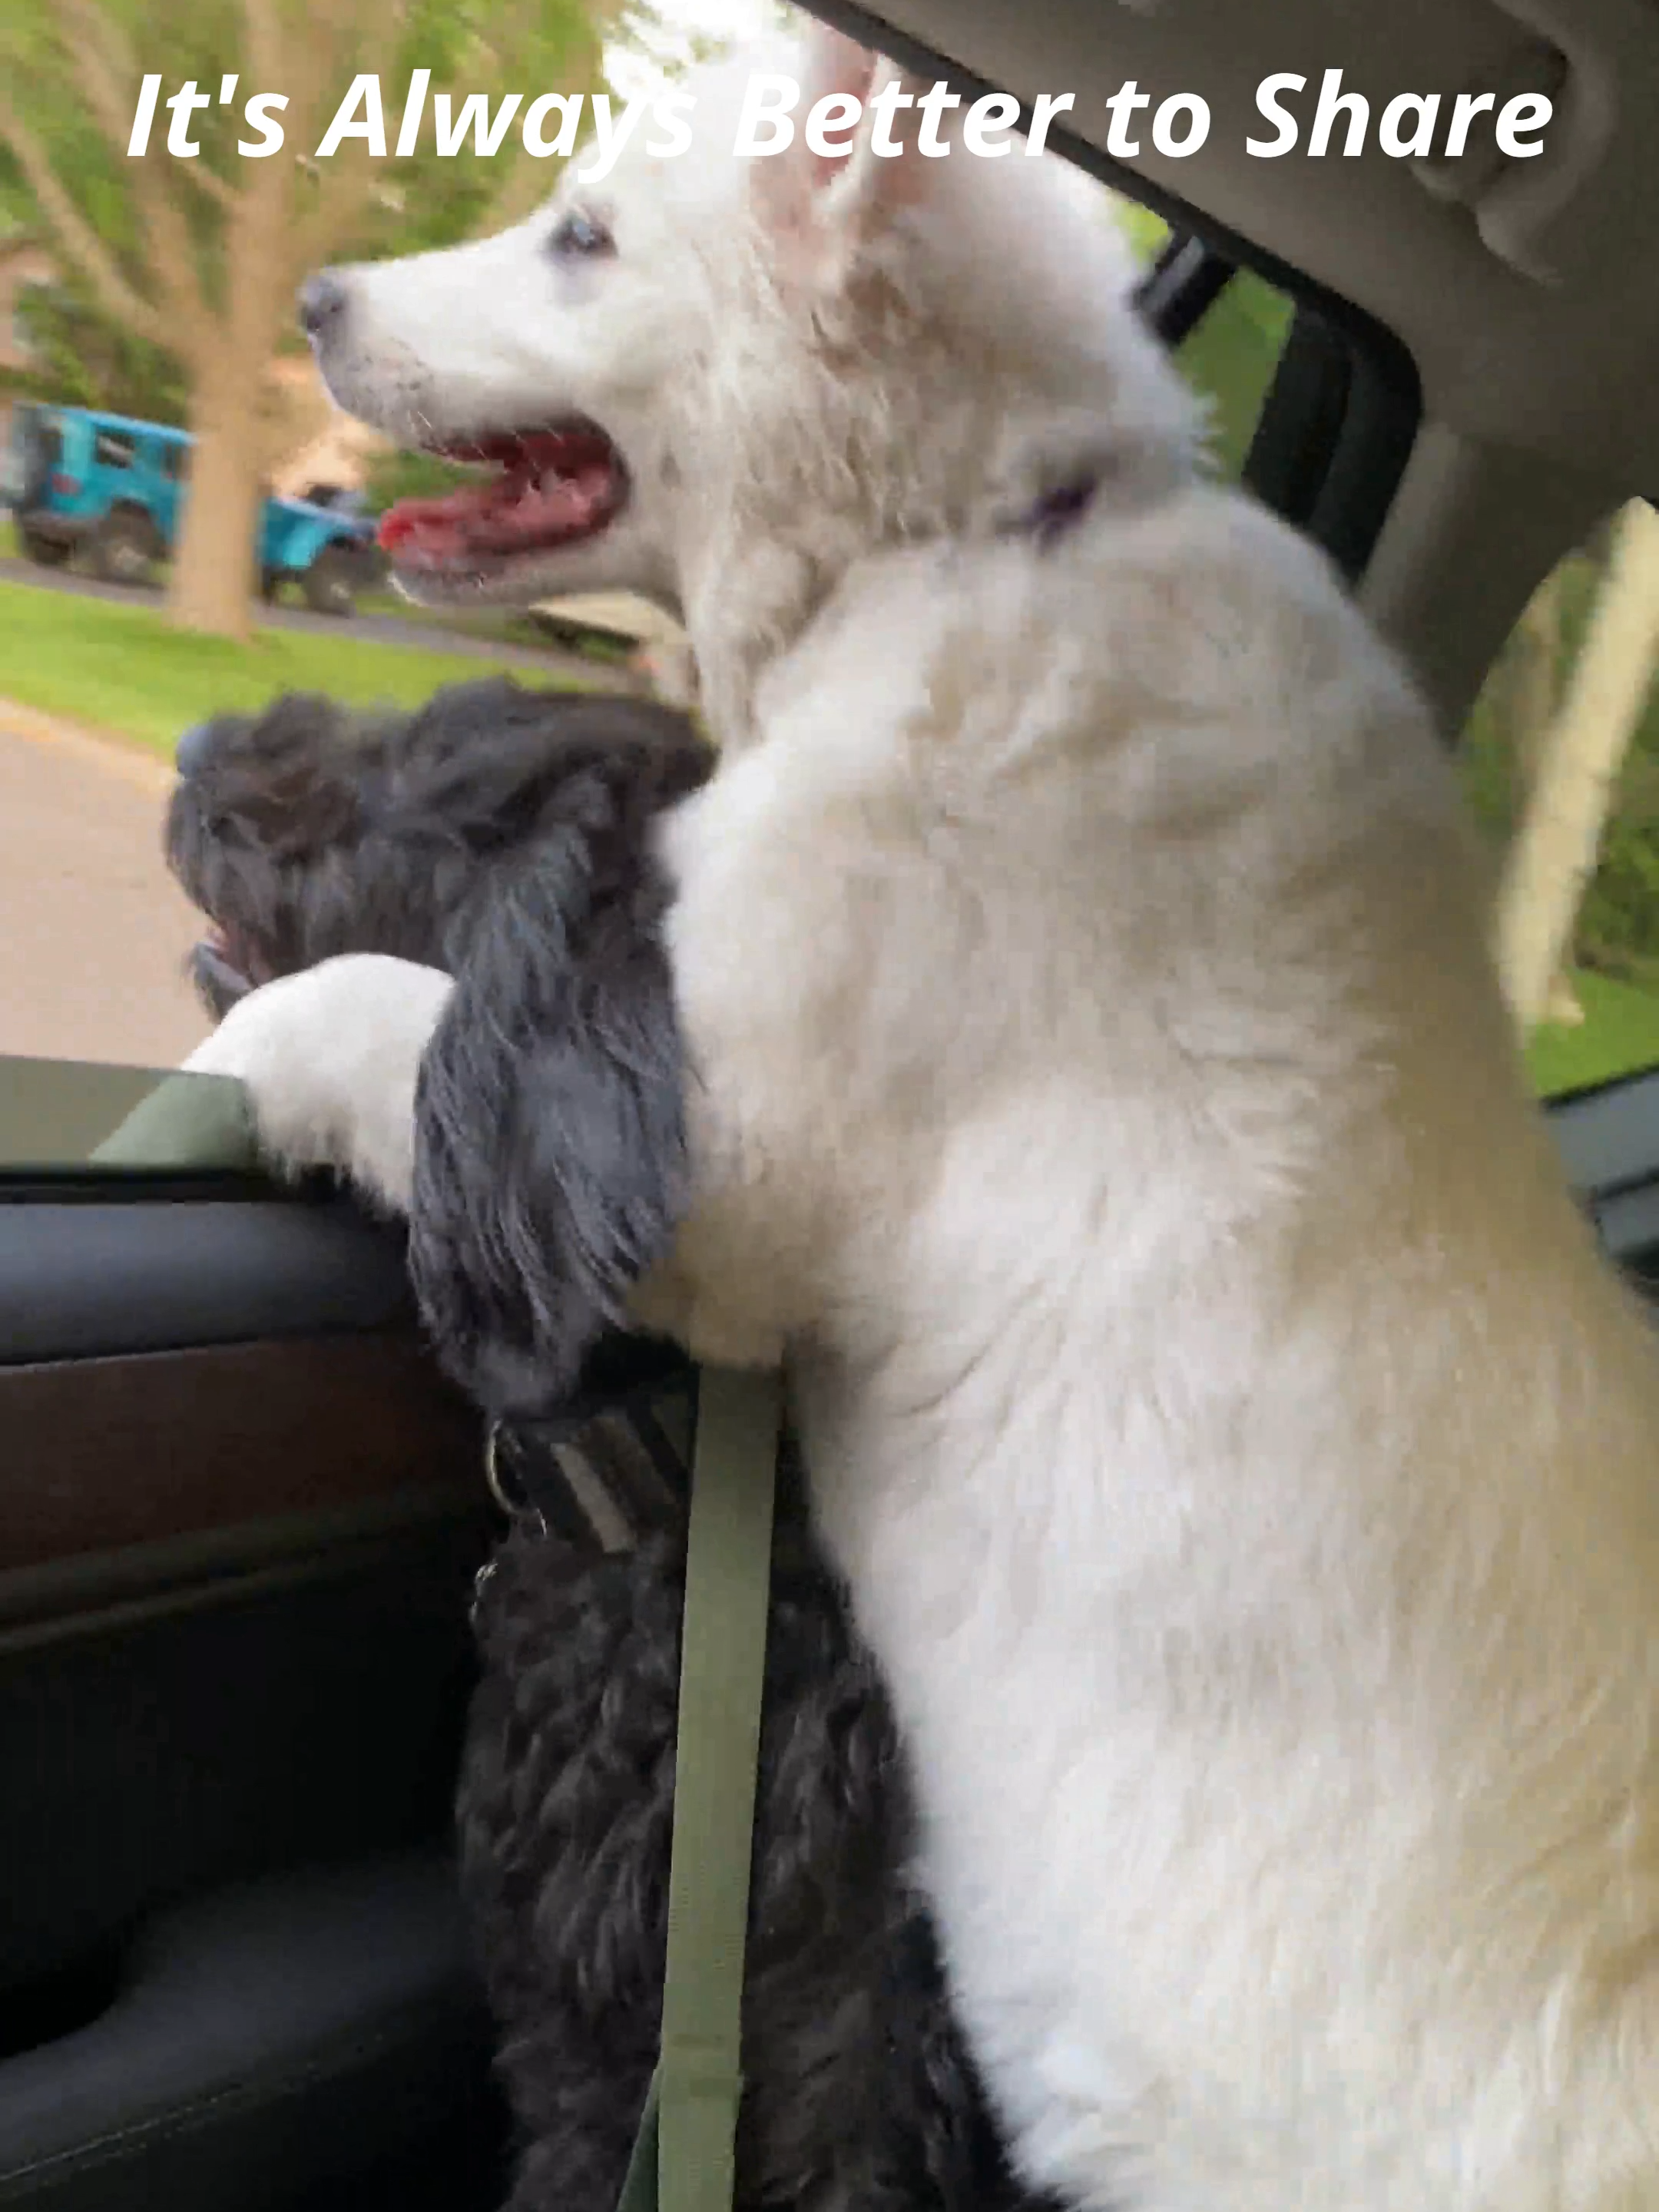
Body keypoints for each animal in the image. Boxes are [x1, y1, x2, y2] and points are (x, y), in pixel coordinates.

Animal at [194, 22, 1659, 2212]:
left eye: (583, 235)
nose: (311, 301)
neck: (970, 541)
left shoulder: (708, 1169)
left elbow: (397, 1017)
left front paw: (240, 1052)